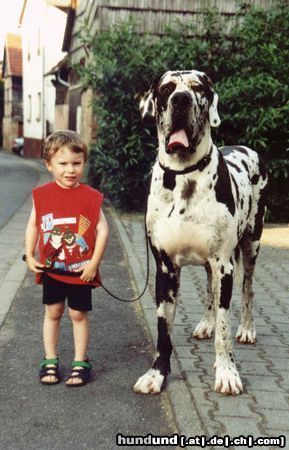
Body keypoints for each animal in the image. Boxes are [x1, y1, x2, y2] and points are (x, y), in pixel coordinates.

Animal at [134, 69, 266, 394]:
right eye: (166, 88)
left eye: (198, 87)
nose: (180, 99)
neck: (184, 176)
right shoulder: (165, 268)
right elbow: (163, 330)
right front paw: (157, 374)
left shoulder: (224, 265)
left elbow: (224, 326)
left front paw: (227, 372)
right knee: (209, 290)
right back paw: (206, 323)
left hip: (251, 245)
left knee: (247, 289)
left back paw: (246, 328)